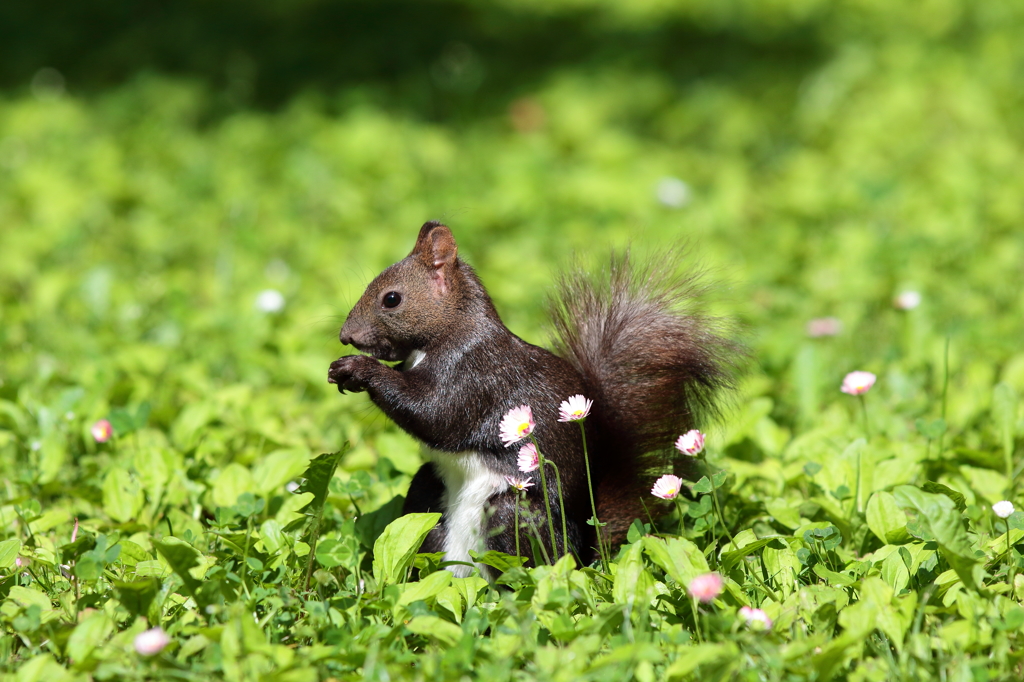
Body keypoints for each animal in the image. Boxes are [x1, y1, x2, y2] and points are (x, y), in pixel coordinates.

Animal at [327, 222, 737, 573]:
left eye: (391, 299)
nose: (346, 336)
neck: (450, 330)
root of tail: (583, 549)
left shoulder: (475, 375)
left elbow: (435, 415)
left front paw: (358, 369)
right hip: (426, 495)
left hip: (515, 515)